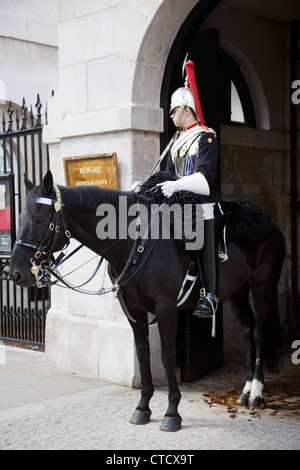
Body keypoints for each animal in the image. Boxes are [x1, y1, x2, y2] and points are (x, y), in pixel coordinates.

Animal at [9, 171, 286, 432]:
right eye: (20, 218)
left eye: (39, 219)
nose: (15, 273)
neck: (135, 242)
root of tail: (270, 221)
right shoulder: (133, 309)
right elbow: (142, 354)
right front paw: (142, 408)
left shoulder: (166, 309)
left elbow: (167, 354)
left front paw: (172, 412)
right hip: (236, 293)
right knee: (248, 331)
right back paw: (246, 391)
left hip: (262, 288)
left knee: (260, 333)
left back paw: (257, 394)